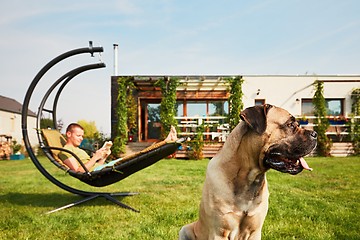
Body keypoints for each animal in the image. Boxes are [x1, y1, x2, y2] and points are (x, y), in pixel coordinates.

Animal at [179, 104, 316, 240]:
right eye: (290, 125)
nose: (315, 133)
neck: (249, 178)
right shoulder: (219, 232)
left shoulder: (255, 231)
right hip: (185, 229)